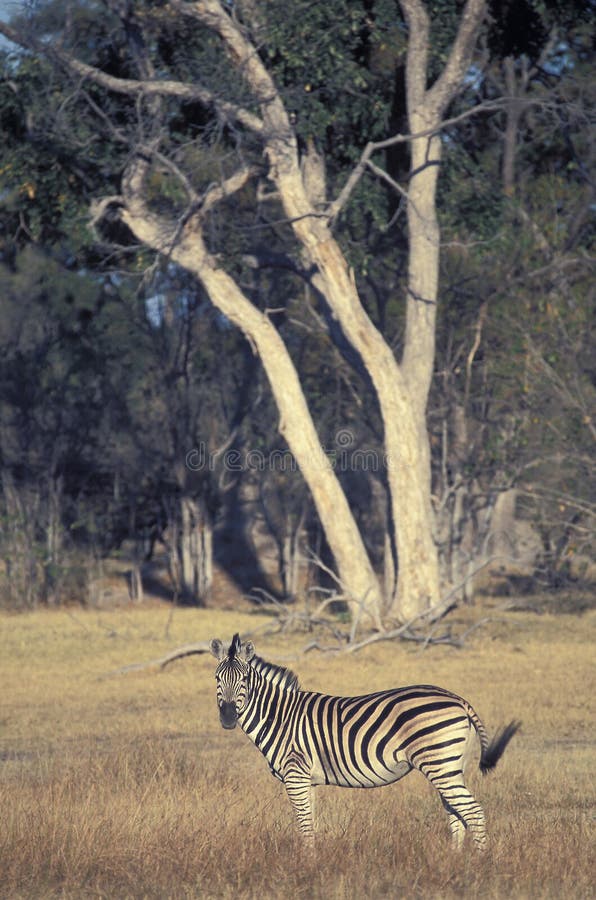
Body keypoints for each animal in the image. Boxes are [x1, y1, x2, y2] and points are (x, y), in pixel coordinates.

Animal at [212, 628, 520, 848]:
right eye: (217, 679)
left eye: (244, 680)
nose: (227, 717)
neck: (280, 716)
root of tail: (459, 700)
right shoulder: (307, 779)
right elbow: (310, 823)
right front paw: (313, 861)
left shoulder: (295, 774)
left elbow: (304, 825)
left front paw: (306, 865)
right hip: (451, 765)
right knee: (457, 815)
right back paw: (454, 864)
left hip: (440, 763)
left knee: (473, 813)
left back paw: (477, 865)